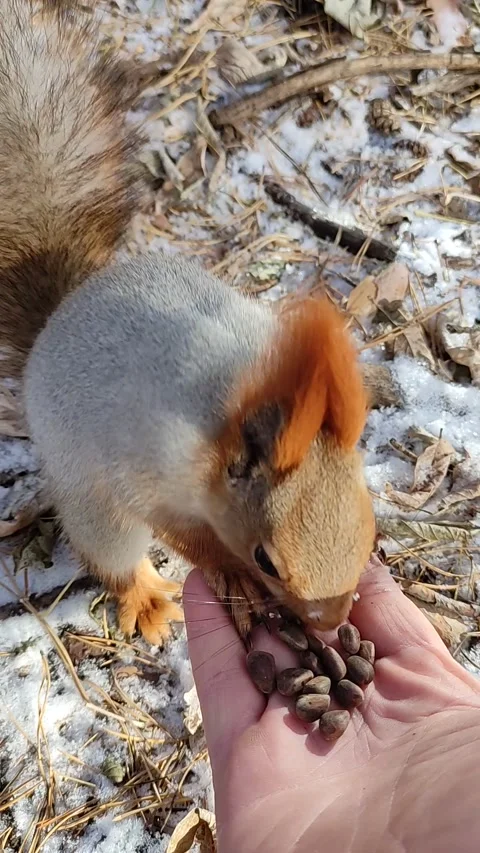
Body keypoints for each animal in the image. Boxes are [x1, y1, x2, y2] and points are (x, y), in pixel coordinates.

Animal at [0, 0, 375, 646]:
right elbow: (181, 532)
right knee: (111, 551)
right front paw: (229, 571)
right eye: (266, 559)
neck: (242, 412)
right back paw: (146, 597)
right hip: (89, 495)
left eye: (370, 529)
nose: (329, 627)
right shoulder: (149, 465)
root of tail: (60, 315)